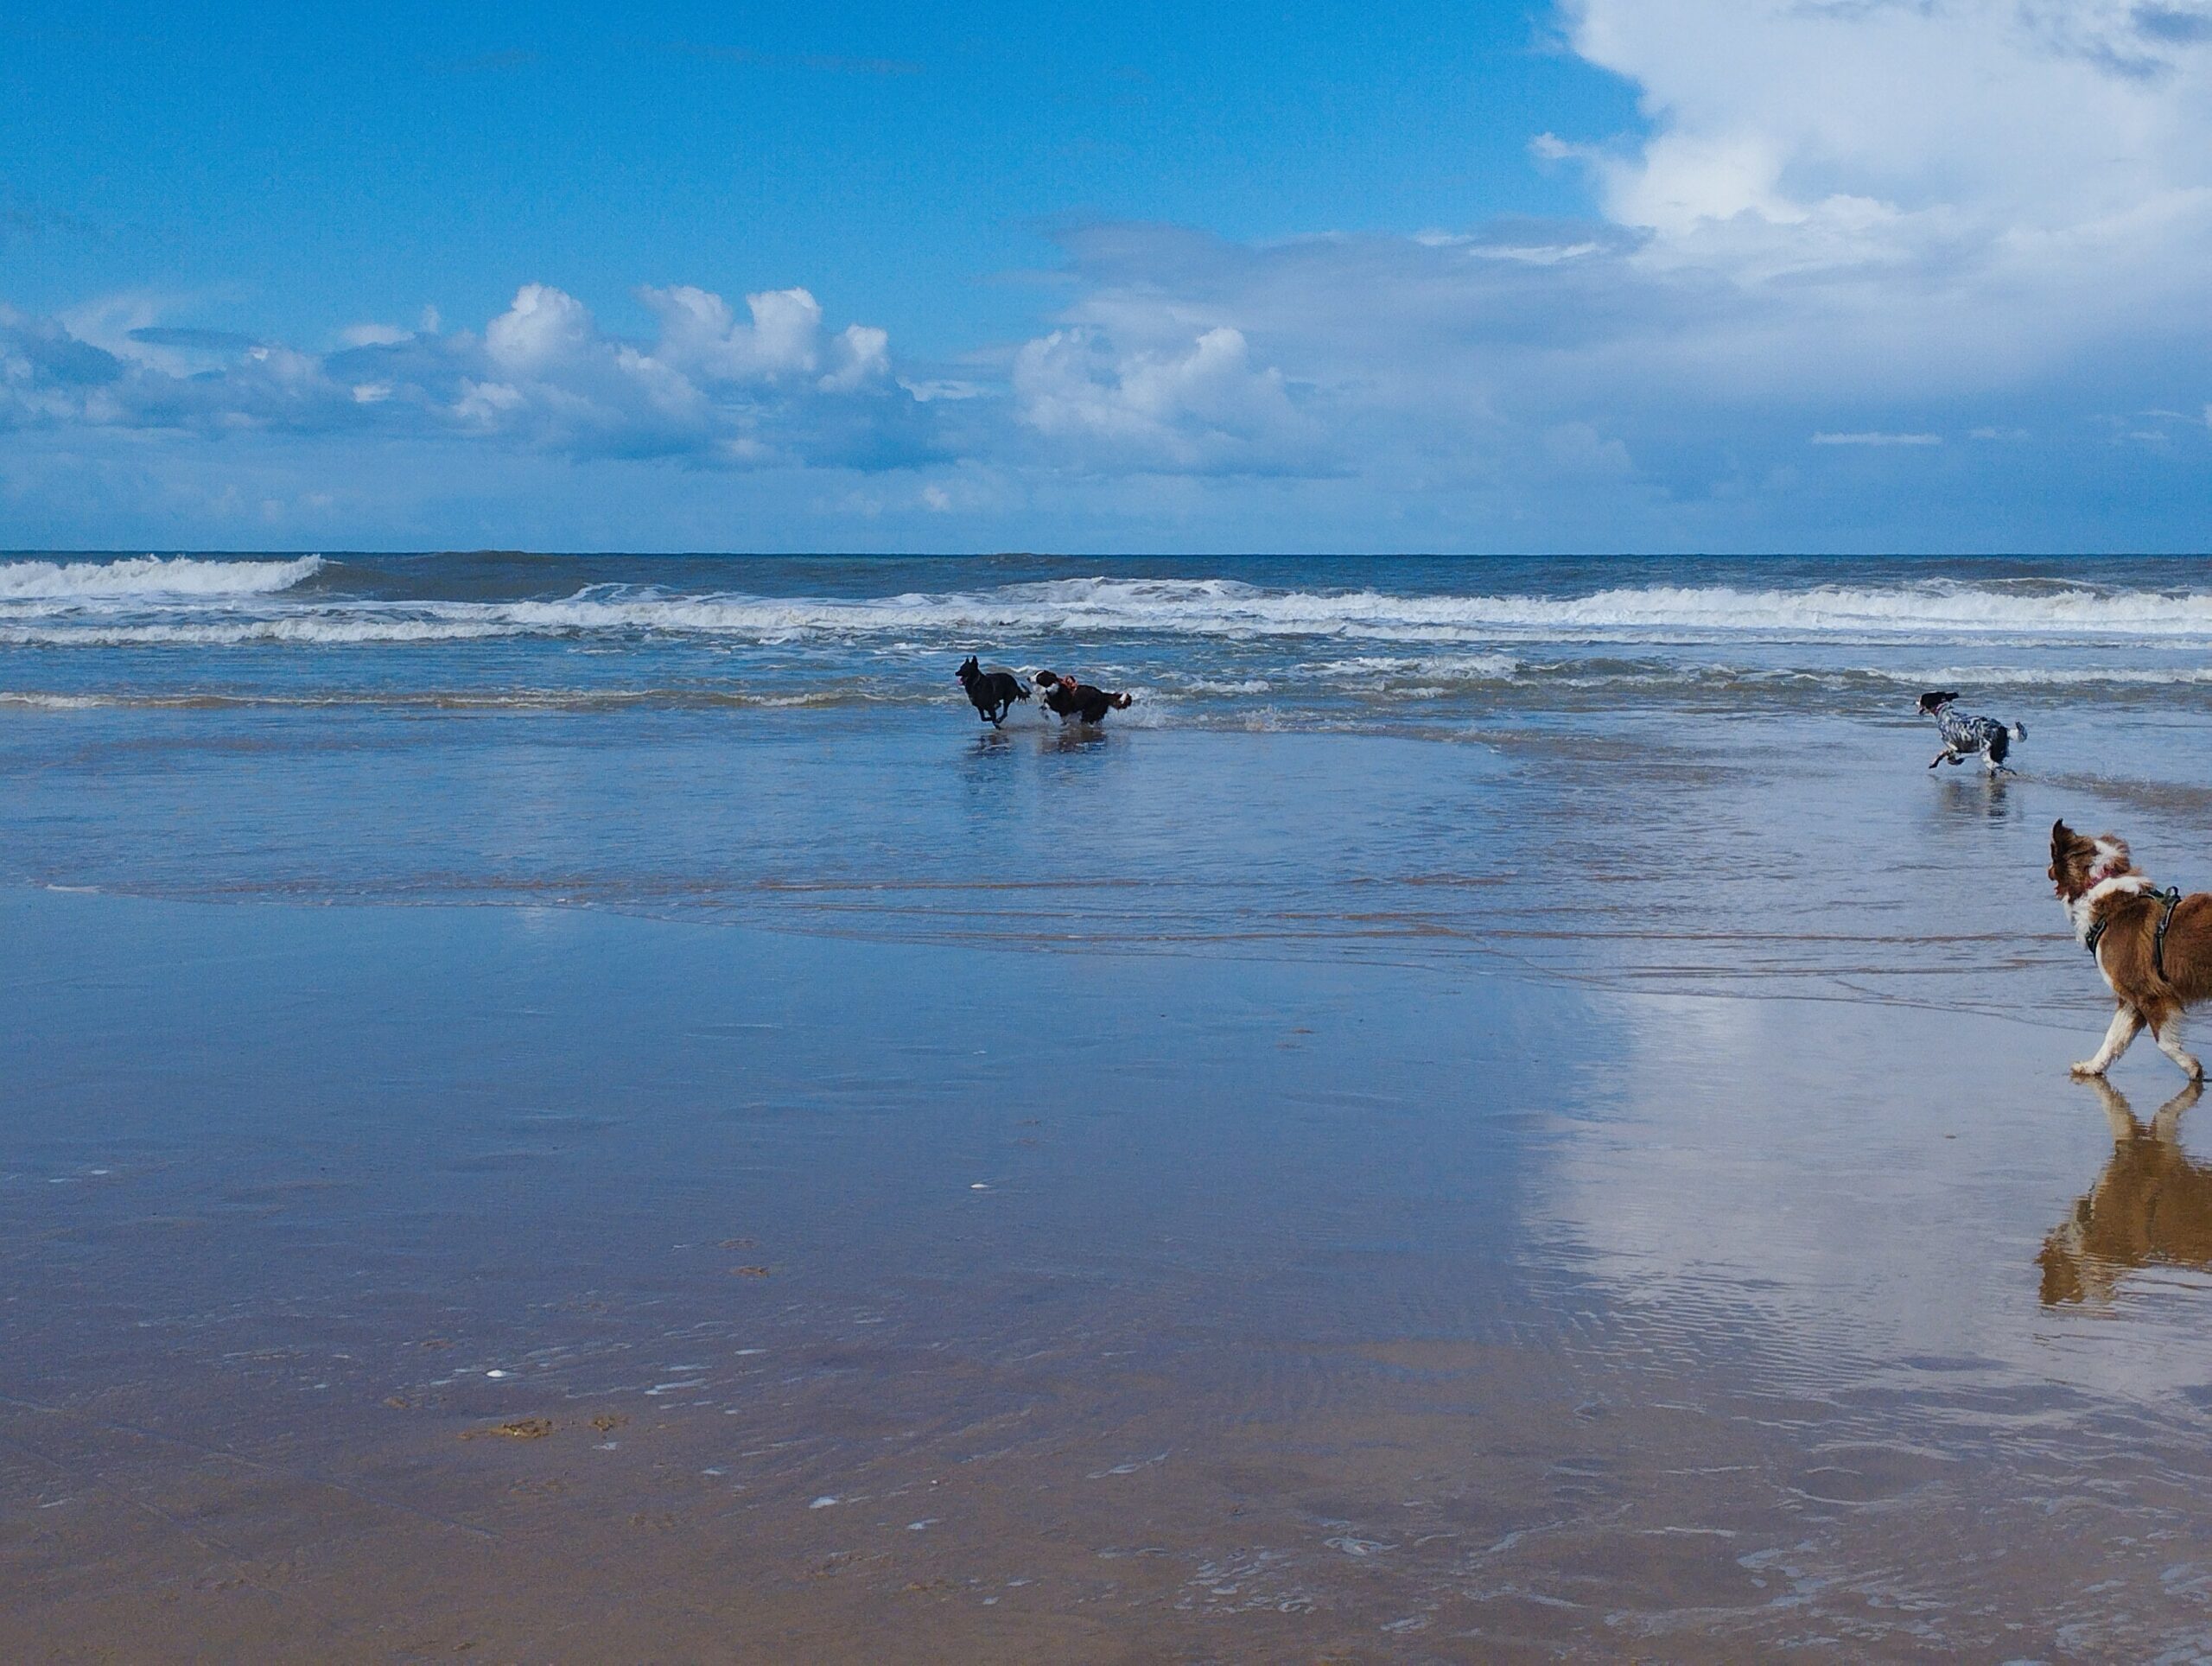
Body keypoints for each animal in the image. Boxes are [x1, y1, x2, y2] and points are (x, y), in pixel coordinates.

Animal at [2044, 818, 2212, 1079]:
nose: (2046, 870)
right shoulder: (2131, 999)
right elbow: (2113, 1038)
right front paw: (2092, 1067)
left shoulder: (2150, 994)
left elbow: (2164, 1043)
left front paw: (2192, 1067)